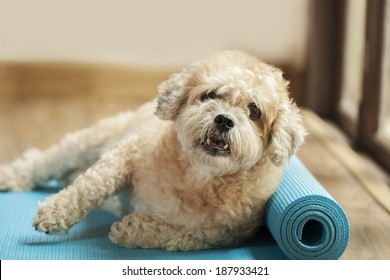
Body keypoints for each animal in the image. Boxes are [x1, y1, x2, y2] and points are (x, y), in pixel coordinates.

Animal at [0, 50, 304, 252]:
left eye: (254, 111)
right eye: (210, 95)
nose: (224, 120)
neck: (198, 176)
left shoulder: (218, 235)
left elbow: (172, 236)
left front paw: (130, 229)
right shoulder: (124, 156)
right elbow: (89, 187)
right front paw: (54, 214)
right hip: (90, 140)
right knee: (45, 162)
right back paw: (13, 176)